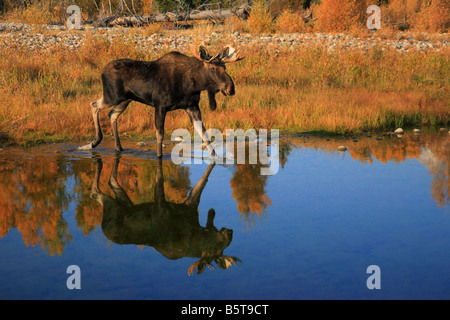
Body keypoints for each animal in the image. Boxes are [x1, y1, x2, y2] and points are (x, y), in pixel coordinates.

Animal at [84, 45, 246, 158]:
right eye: (212, 68)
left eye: (225, 67)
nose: (231, 88)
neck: (193, 85)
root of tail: (102, 71)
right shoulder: (160, 106)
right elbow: (160, 134)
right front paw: (159, 156)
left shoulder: (193, 107)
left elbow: (204, 134)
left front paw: (215, 157)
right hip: (112, 95)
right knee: (94, 105)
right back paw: (95, 141)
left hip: (125, 99)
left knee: (112, 114)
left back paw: (118, 147)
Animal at [89, 156, 241, 276]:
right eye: (217, 248)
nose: (230, 232)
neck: (194, 233)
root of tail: (103, 227)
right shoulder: (160, 207)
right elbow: (160, 179)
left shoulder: (190, 205)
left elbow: (203, 181)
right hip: (111, 204)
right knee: (95, 192)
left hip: (124, 201)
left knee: (111, 182)